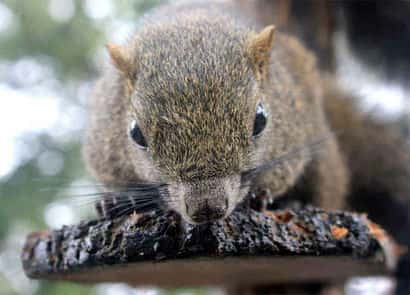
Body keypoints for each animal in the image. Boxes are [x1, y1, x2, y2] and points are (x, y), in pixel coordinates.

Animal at [83, 0, 410, 227]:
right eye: (136, 133)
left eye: (260, 120)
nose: (207, 207)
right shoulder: (104, 149)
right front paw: (115, 202)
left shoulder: (291, 140)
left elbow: (280, 173)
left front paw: (261, 196)